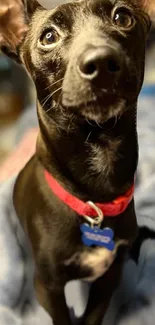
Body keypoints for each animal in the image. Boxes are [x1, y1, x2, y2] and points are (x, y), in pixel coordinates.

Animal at [0, 0, 154, 324]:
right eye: (48, 36)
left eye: (123, 17)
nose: (102, 62)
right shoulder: (47, 286)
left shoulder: (110, 276)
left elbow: (93, 314)